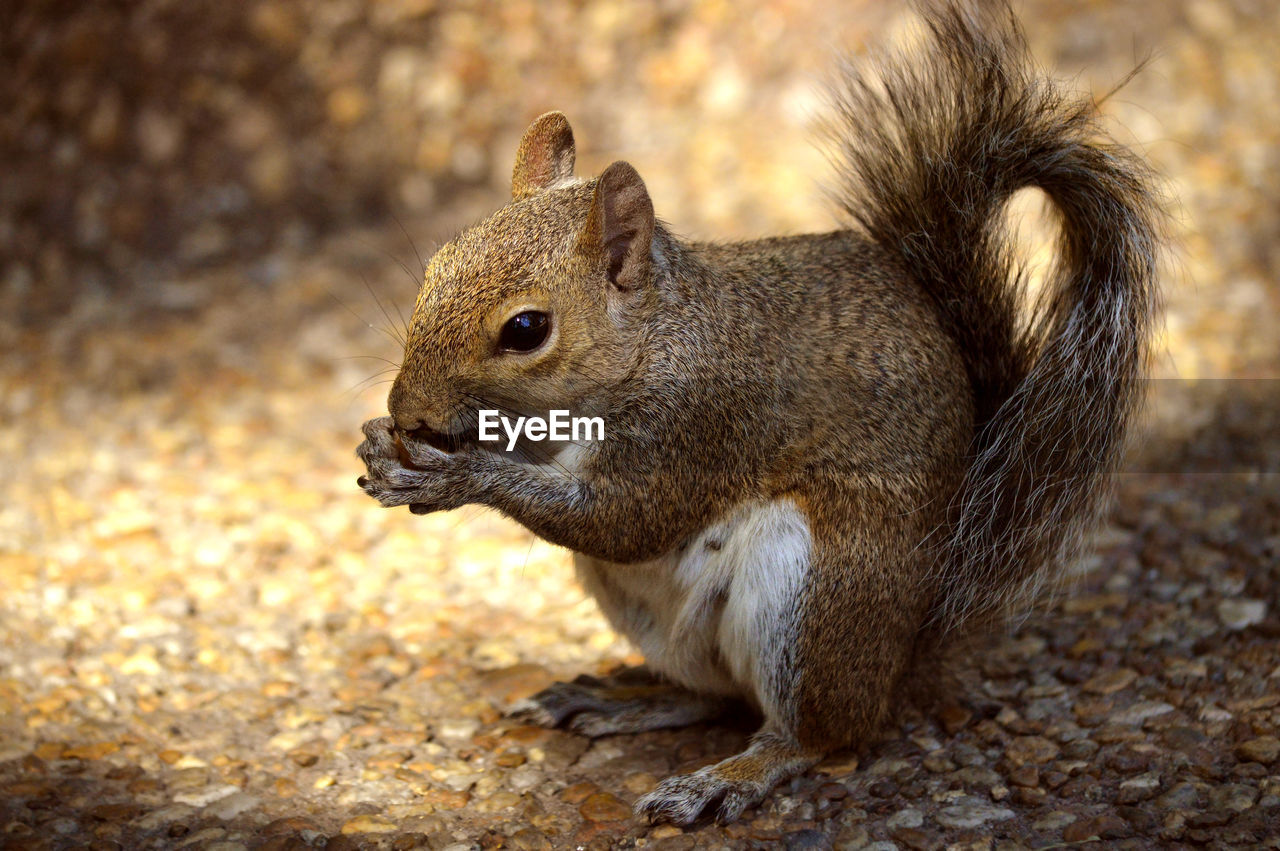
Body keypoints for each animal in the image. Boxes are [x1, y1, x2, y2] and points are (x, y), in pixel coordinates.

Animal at [355, 0, 1167, 824]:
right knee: (712, 695)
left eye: (526, 329)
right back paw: (625, 701)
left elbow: (626, 519)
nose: (406, 408)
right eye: (435, 267)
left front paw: (459, 476)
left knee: (816, 732)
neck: (656, 337)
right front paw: (390, 452)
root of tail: (910, 640)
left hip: (813, 593)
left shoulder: (700, 421)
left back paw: (729, 776)